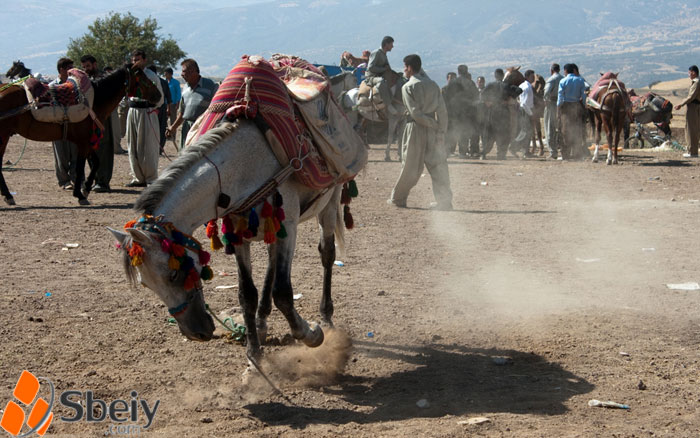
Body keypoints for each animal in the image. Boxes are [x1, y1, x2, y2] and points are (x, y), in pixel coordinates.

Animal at [0, 65, 160, 205]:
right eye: (142, 77)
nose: (158, 95)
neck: (95, 100)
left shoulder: (87, 141)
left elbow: (96, 163)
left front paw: (86, 189)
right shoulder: (83, 142)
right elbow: (80, 167)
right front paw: (80, 195)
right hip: (3, 136)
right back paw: (8, 195)